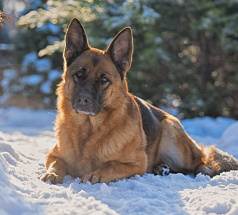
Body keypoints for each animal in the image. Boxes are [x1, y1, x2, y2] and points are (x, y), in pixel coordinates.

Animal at [41, 17, 238, 184]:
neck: (88, 130)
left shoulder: (136, 164)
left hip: (172, 135)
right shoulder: (52, 155)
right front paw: (52, 174)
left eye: (104, 79)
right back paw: (161, 168)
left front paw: (95, 174)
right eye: (79, 74)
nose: (83, 99)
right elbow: (58, 163)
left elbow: (111, 166)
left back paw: (196, 169)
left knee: (201, 160)